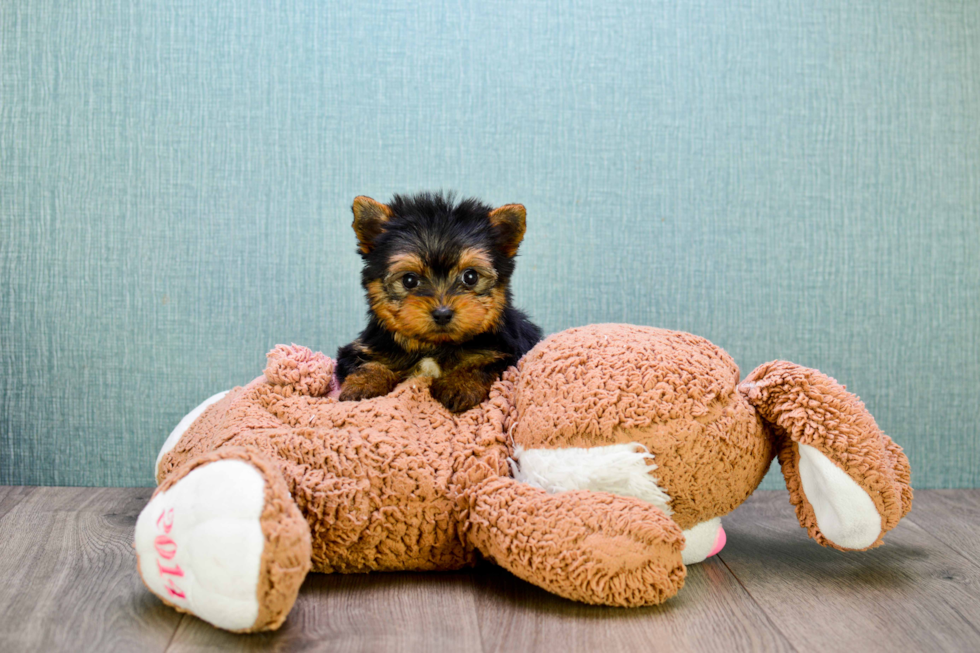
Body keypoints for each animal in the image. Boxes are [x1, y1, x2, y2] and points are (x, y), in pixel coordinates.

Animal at [334, 191, 536, 412]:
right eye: (409, 280)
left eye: (471, 277)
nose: (442, 313)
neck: (435, 345)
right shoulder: (363, 347)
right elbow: (369, 362)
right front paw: (363, 383)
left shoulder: (508, 352)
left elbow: (482, 363)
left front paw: (460, 385)